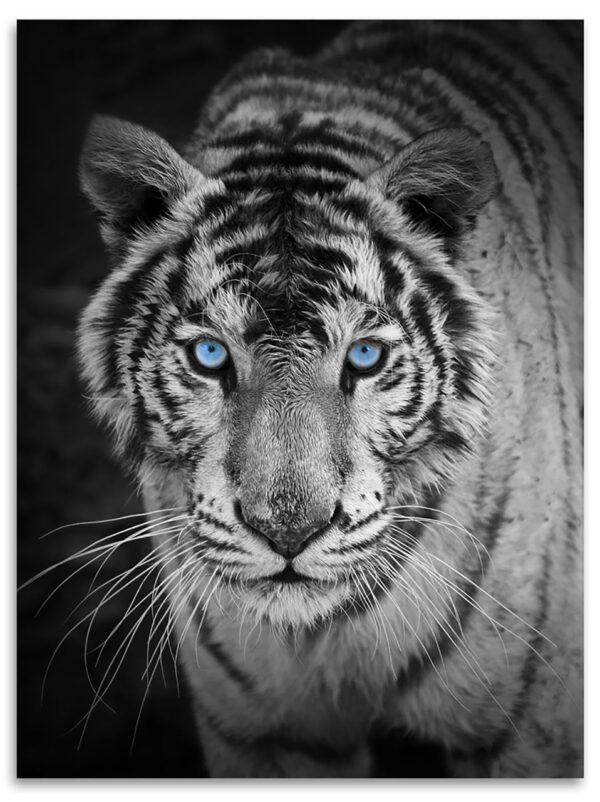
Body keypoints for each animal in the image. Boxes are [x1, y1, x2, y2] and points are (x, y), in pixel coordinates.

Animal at [77, 21, 583, 778]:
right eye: (209, 356)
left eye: (364, 358)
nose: (289, 531)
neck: (326, 635)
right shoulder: (267, 734)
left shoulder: (529, 731)